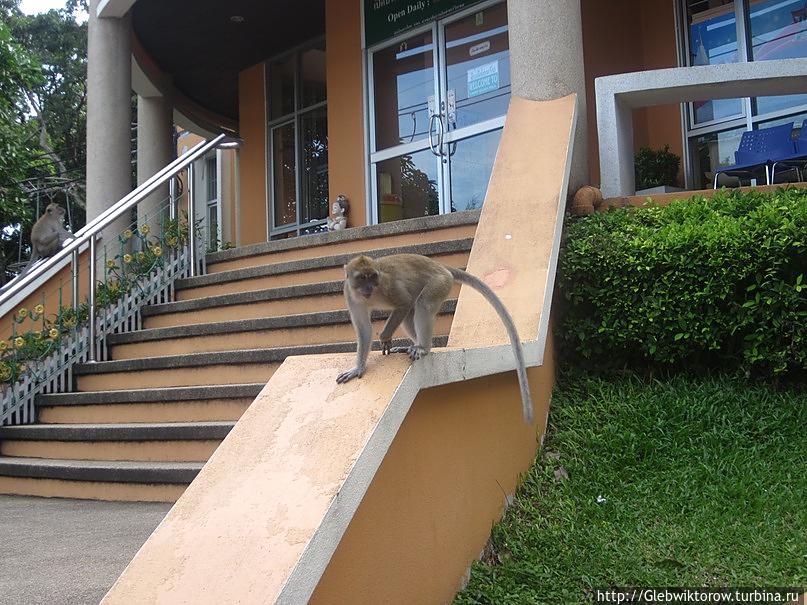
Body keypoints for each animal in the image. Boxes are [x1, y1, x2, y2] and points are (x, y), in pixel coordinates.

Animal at [338, 252, 532, 422]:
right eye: (362, 278)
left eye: (372, 276)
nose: (369, 287)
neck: (371, 296)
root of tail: (438, 265)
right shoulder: (350, 295)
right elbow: (364, 329)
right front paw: (358, 368)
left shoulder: (387, 285)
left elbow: (404, 303)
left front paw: (385, 337)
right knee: (411, 312)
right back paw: (414, 345)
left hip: (440, 283)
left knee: (421, 304)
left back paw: (423, 348)